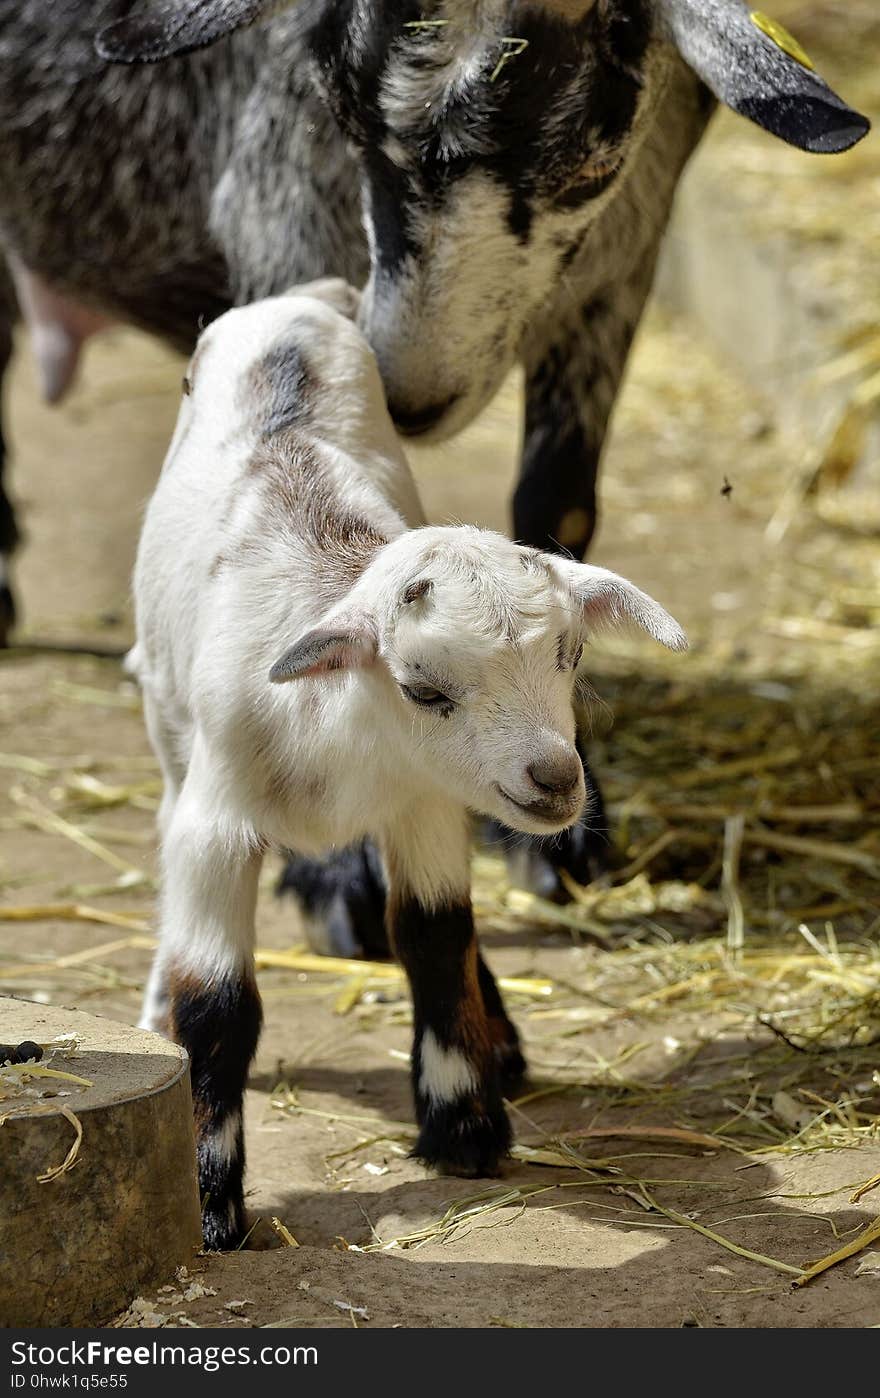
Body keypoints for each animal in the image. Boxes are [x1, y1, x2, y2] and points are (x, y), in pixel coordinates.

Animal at [133, 278, 685, 1252]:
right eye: (422, 689)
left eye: (572, 654)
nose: (556, 781)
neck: (334, 730)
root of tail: (295, 303)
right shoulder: (216, 821)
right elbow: (219, 1005)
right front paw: (209, 1203)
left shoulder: (424, 807)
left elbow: (434, 936)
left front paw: (464, 1125)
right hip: (169, 727)